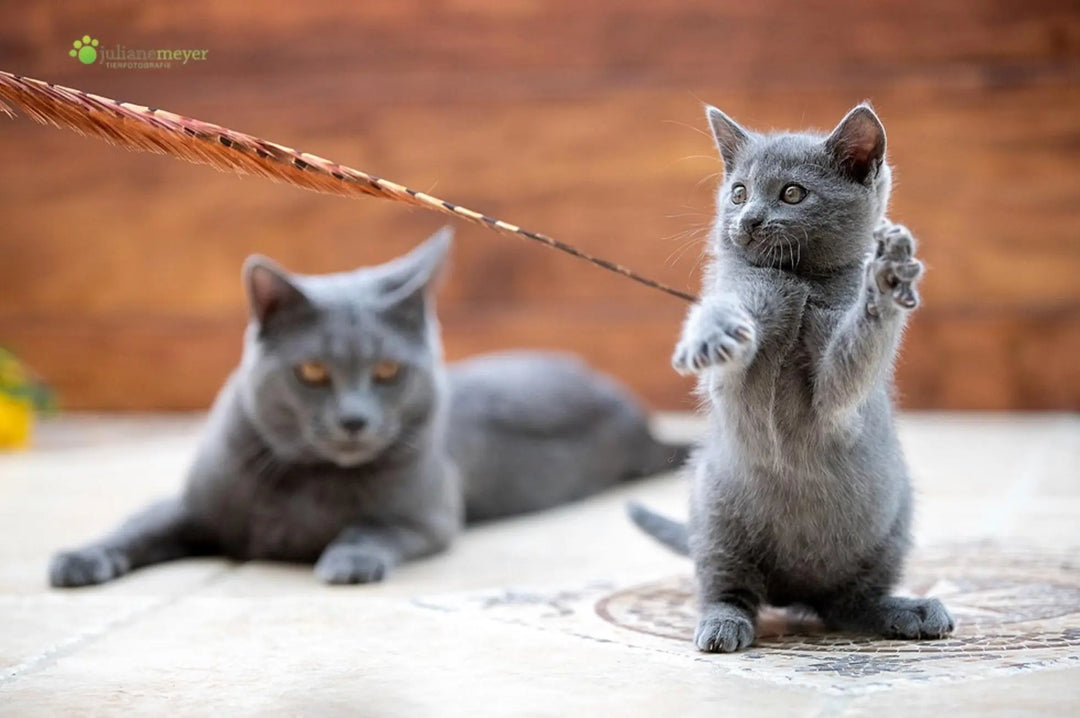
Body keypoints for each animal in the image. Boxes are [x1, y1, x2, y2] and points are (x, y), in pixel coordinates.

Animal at [50, 226, 682, 587]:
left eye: (386, 372)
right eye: (311, 372)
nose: (353, 419)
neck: (306, 484)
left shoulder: (428, 516)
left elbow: (373, 524)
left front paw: (346, 560)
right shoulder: (191, 507)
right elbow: (137, 526)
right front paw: (79, 558)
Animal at [630, 105, 954, 647]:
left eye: (793, 193)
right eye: (739, 191)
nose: (749, 219)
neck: (798, 283)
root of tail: (793, 592)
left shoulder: (839, 394)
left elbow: (851, 362)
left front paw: (886, 280)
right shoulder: (738, 335)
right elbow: (724, 320)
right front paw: (709, 334)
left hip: (893, 524)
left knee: (849, 604)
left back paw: (907, 611)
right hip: (715, 512)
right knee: (727, 588)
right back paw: (722, 626)